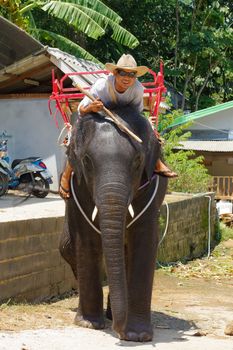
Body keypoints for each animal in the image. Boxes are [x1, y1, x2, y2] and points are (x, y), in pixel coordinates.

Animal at [59, 106, 167, 342]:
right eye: (87, 161)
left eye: (137, 161)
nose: (120, 332)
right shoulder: (78, 186)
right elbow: (86, 240)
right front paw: (89, 324)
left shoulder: (151, 186)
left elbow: (144, 241)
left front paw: (138, 335)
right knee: (68, 248)